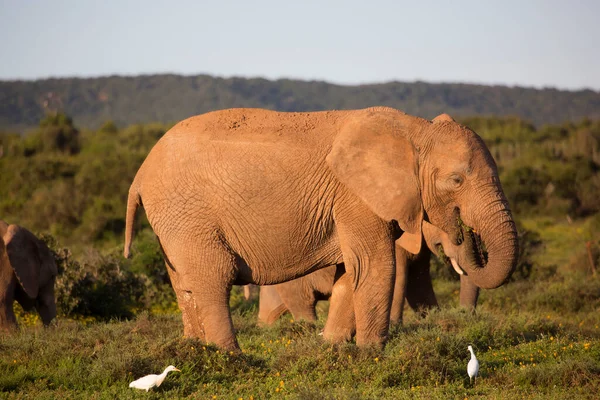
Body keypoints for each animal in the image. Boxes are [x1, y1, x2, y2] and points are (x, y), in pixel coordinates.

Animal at [124, 105, 516, 350]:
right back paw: (231, 358)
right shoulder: (355, 196)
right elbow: (375, 265)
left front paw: (333, 347)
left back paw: (195, 350)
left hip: (173, 221)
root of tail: (139, 174)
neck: (414, 130)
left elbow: (350, 271)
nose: (463, 231)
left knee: (184, 284)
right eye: (456, 180)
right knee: (212, 277)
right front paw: (371, 353)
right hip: (188, 213)